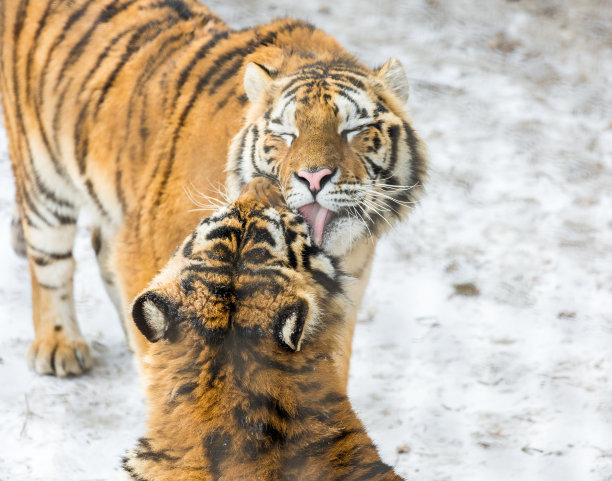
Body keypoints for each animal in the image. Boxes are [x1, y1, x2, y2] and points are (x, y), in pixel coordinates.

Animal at [0, 0, 428, 382]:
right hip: (43, 181)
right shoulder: (149, 254)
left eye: (353, 130)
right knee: (51, 262)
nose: (314, 177)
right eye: (286, 134)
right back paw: (59, 347)